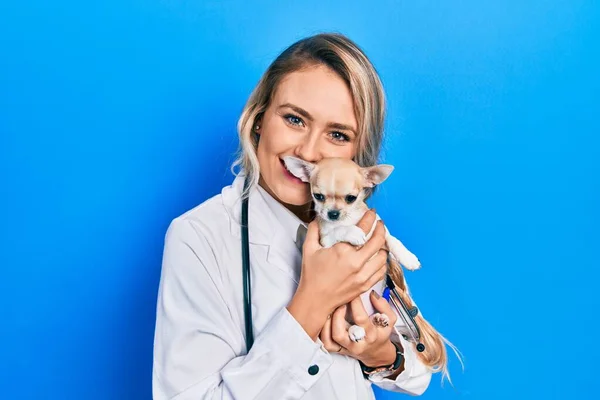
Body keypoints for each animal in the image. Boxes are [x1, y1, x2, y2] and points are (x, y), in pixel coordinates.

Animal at [282, 156, 420, 340]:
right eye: (318, 196)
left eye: (351, 198)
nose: (332, 214)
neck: (349, 219)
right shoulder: (326, 241)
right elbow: (339, 230)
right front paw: (353, 233)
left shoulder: (379, 228)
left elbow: (392, 240)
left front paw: (408, 258)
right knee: (347, 321)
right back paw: (356, 329)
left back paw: (379, 318)